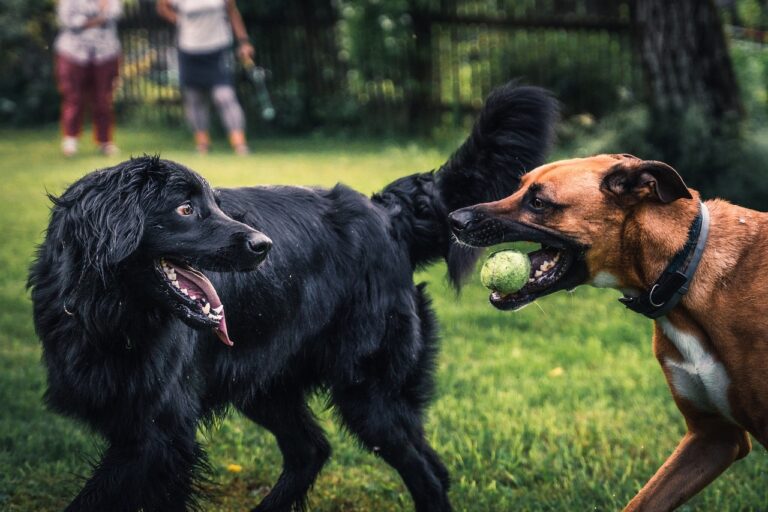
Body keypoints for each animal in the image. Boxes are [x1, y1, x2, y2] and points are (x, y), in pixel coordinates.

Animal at [28, 82, 560, 510]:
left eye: (215, 203)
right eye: (184, 209)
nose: (264, 246)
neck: (108, 317)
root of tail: (385, 214)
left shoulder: (158, 434)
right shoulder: (138, 428)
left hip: (368, 392)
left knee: (424, 472)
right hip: (270, 383)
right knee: (316, 451)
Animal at [448, 153, 764, 512]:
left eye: (539, 203)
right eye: (519, 188)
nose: (453, 219)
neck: (682, 267)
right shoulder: (713, 438)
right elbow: (640, 502)